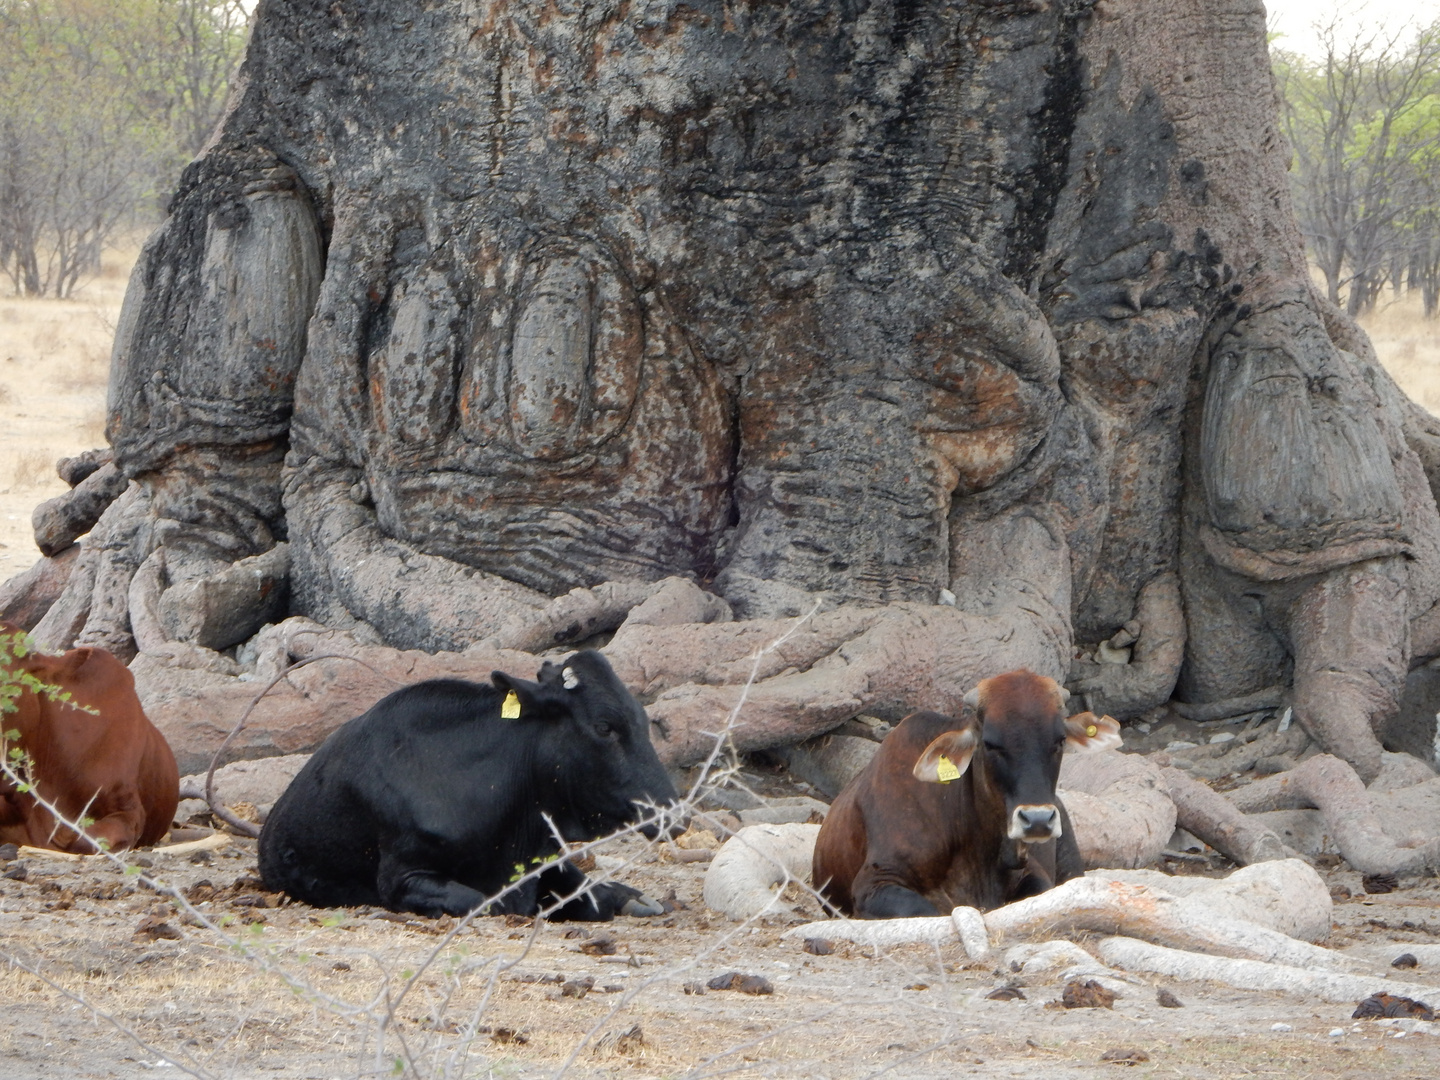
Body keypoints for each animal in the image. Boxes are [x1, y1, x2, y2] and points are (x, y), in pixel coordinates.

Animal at [257, 650, 673, 921]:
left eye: (643, 718)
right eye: (605, 727)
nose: (673, 811)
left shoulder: (544, 859)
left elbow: (591, 894)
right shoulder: (401, 878)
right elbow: (486, 903)